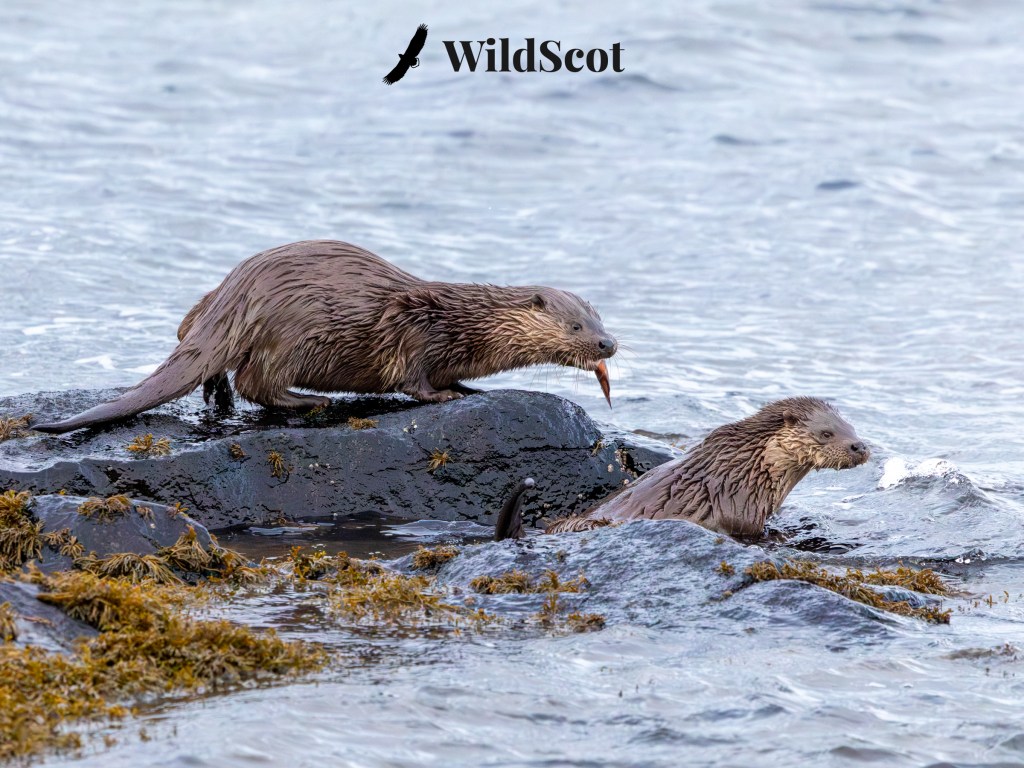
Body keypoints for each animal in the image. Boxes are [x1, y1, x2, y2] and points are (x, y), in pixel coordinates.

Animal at [34, 240, 617, 434]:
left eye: (601, 321)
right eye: (576, 326)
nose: (608, 345)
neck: (466, 323)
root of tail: (237, 294)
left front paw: (468, 387)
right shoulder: (416, 328)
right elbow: (413, 378)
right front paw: (446, 395)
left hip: (208, 307)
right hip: (291, 333)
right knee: (257, 381)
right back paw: (308, 401)